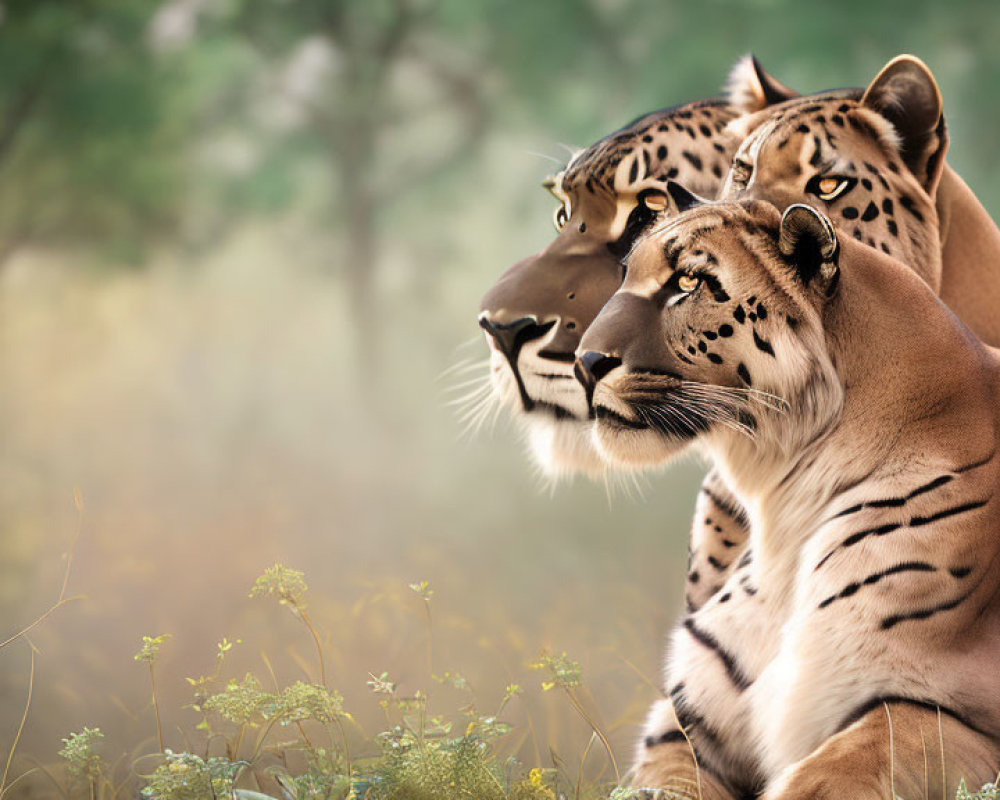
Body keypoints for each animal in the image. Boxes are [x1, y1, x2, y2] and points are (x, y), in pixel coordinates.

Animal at [572, 195, 1000, 800]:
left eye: (687, 282)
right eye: (627, 275)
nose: (584, 362)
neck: (787, 506)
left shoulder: (952, 711)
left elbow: (834, 768)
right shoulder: (685, 726)